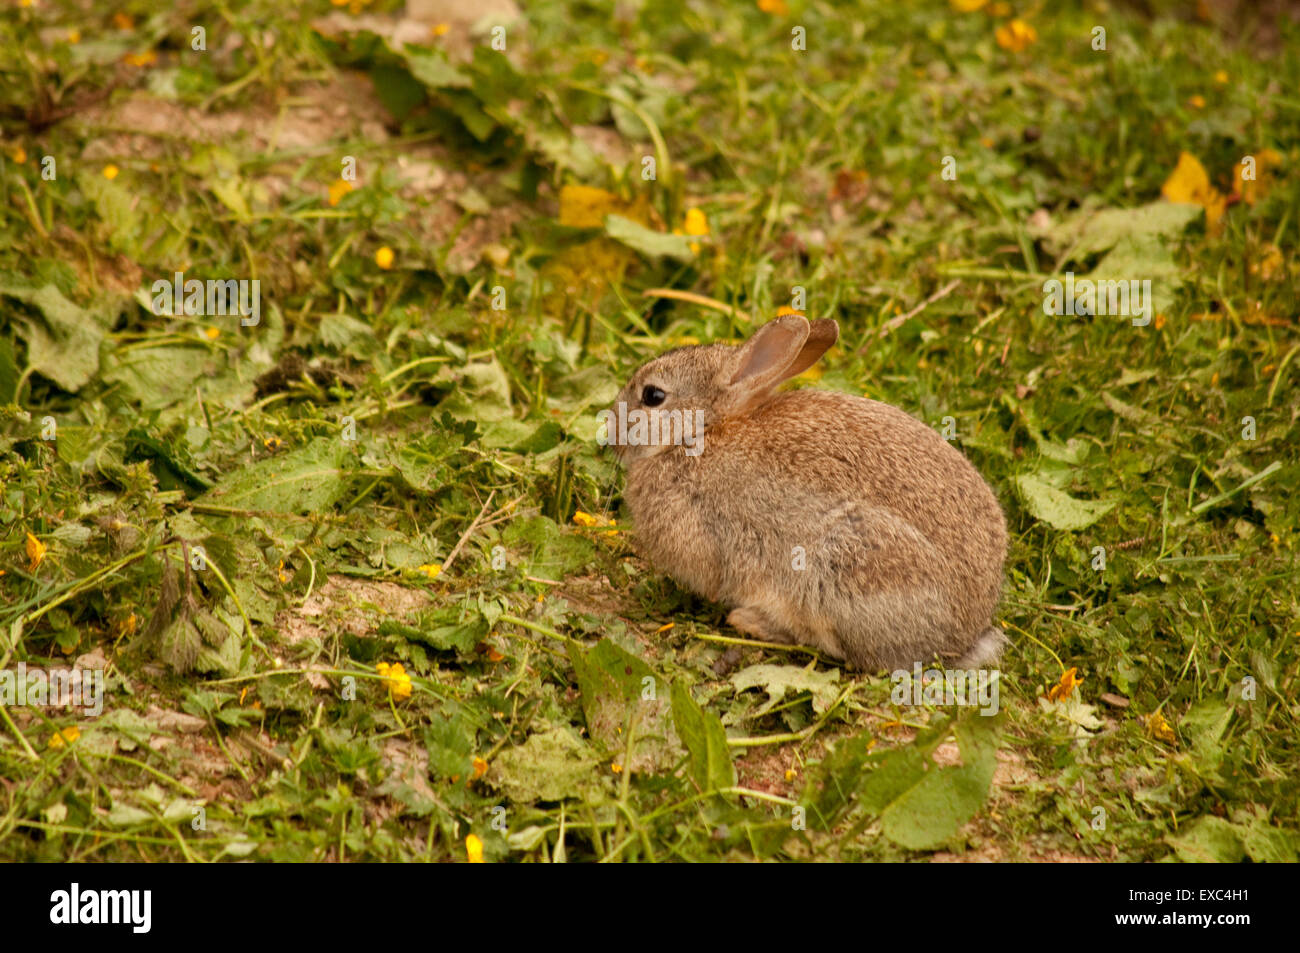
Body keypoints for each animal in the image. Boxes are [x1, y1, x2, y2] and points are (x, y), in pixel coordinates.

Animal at [603, 312, 1008, 670]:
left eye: (653, 395)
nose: (611, 436)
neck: (698, 434)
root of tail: (964, 635)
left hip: (841, 570)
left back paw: (750, 621)